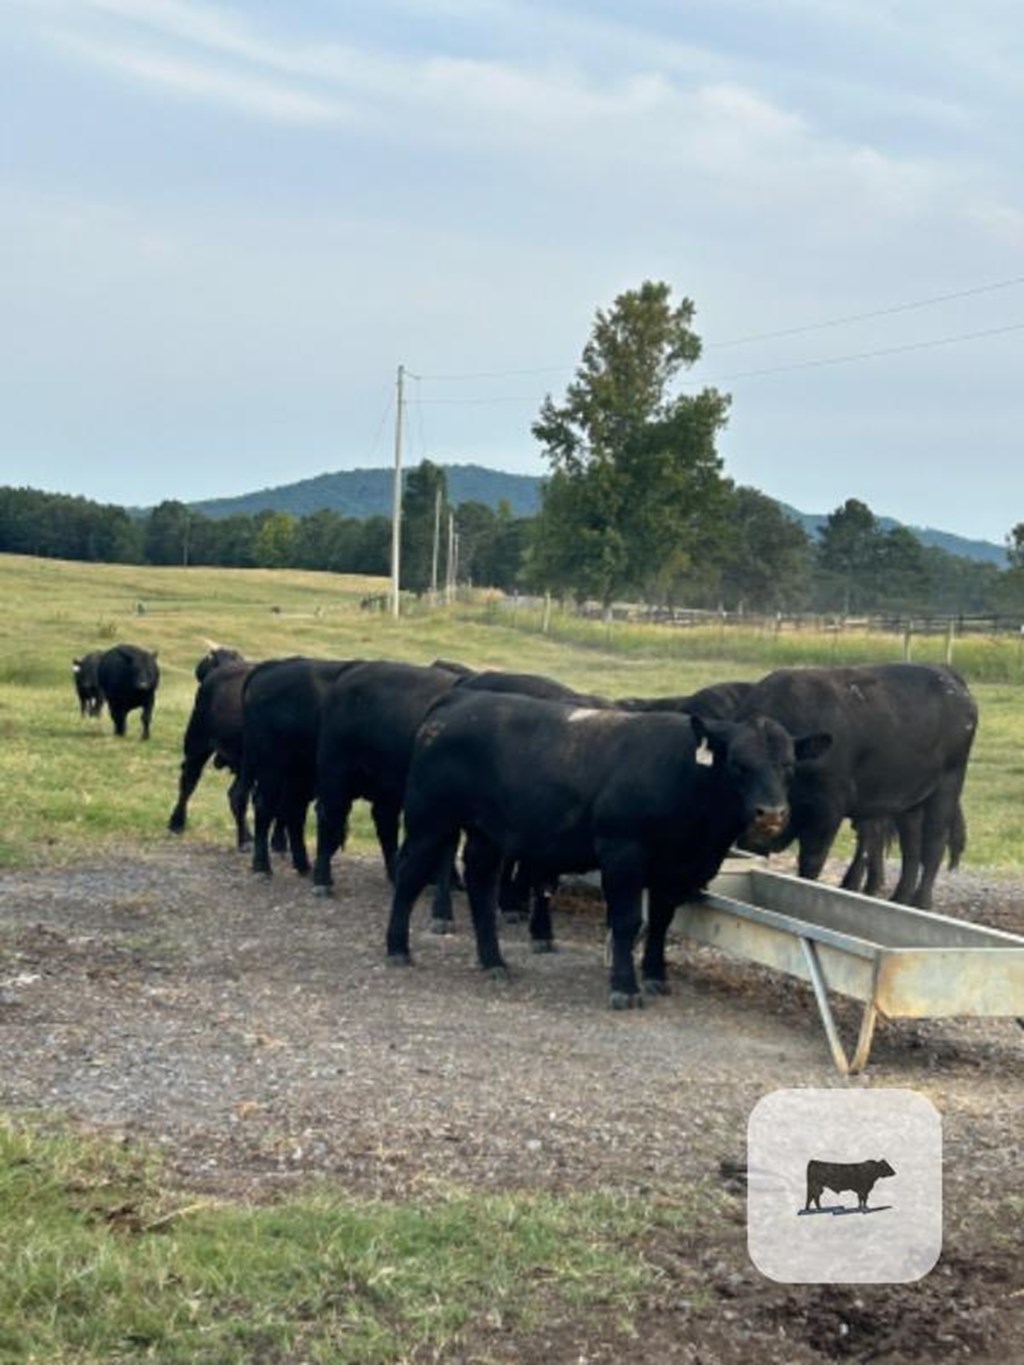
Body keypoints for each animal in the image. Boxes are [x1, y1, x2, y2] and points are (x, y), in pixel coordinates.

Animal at [240, 657, 357, 873]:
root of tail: (271, 667)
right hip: (272, 768)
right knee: (265, 804)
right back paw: (263, 865)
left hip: (295, 773)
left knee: (291, 810)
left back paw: (302, 863)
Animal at [387, 693, 830, 1004]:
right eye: (739, 764)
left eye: (789, 766)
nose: (771, 814)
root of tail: (459, 702)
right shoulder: (624, 852)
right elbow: (627, 919)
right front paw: (624, 986)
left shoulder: (675, 869)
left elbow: (662, 922)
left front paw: (655, 975)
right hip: (430, 820)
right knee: (409, 876)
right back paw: (397, 949)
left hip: (487, 833)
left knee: (481, 885)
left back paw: (493, 960)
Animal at [731, 663, 983, 906]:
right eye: (737, 765)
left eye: (787, 765)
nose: (769, 811)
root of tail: (946, 674)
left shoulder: (827, 811)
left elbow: (811, 861)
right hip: (908, 800)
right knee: (911, 847)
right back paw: (899, 899)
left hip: (947, 786)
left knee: (933, 845)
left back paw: (920, 903)